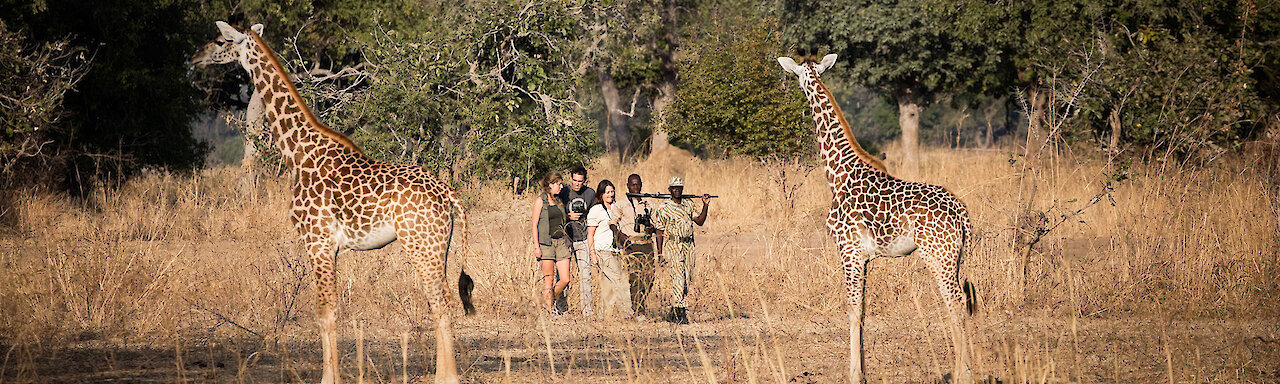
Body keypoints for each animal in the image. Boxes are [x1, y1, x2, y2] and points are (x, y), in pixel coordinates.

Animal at [186, 21, 473, 384]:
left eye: (221, 40)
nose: (194, 58)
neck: (298, 153)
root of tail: (447, 192)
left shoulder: (317, 241)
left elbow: (325, 312)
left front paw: (328, 378)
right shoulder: (328, 246)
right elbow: (330, 311)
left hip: (420, 244)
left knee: (441, 303)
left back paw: (446, 377)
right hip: (439, 246)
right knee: (441, 302)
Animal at [773, 54, 972, 384]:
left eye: (799, 75)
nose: (798, 87)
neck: (838, 173)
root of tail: (962, 213)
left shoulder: (848, 250)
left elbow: (852, 309)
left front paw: (854, 374)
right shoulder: (865, 257)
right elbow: (864, 309)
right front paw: (863, 371)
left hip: (937, 256)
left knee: (955, 301)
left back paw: (964, 373)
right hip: (955, 257)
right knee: (963, 301)